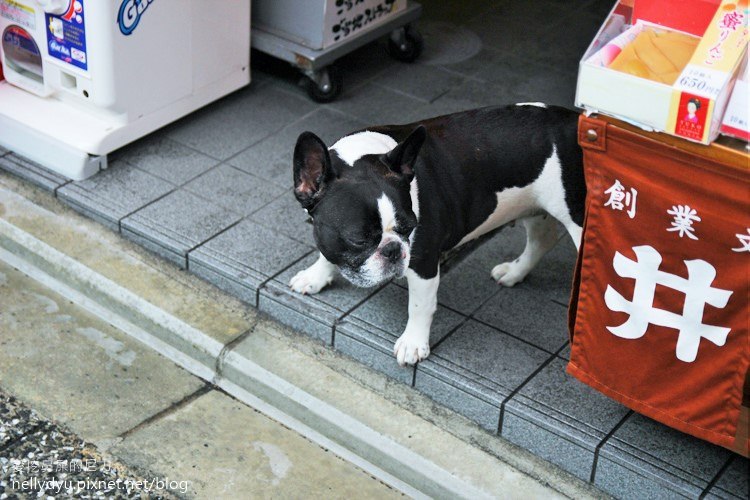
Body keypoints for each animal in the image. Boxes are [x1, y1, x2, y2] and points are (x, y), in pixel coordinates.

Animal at [288, 102, 588, 368]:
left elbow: (420, 305)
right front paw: (315, 276)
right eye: (358, 239)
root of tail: (576, 122)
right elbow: (326, 252)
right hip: (532, 205)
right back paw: (515, 272)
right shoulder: (326, 228)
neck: (360, 157)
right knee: (542, 238)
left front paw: (412, 343)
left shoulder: (423, 262)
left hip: (577, 218)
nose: (393, 250)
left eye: (409, 227)